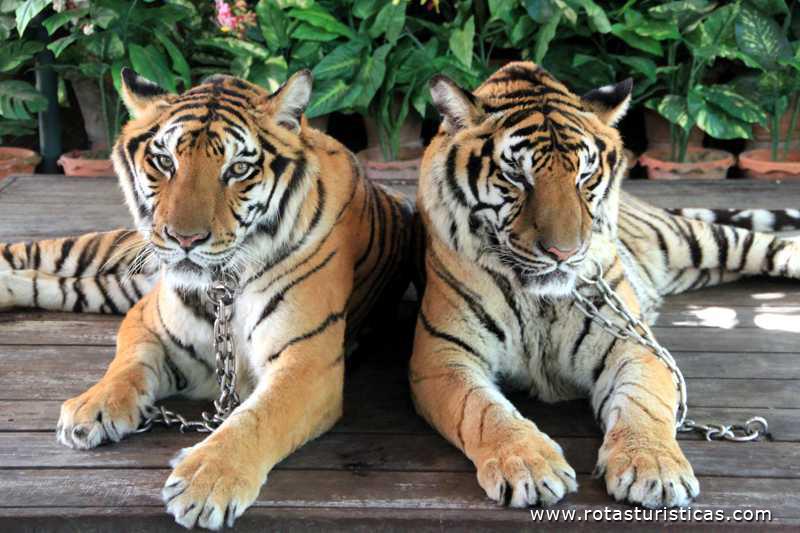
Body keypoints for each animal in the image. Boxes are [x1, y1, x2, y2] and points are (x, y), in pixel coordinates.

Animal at [0, 68, 413, 529]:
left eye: (238, 169)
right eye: (165, 162)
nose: (184, 240)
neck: (224, 286)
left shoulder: (308, 363)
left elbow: (256, 417)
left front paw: (207, 479)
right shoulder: (146, 319)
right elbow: (127, 364)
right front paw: (93, 405)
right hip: (115, 260)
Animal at [410, 61, 800, 510]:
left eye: (584, 175)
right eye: (516, 177)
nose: (563, 252)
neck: (540, 299)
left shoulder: (634, 346)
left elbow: (643, 403)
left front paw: (652, 466)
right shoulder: (442, 357)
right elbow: (482, 411)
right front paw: (528, 465)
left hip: (700, 240)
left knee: (769, 245)